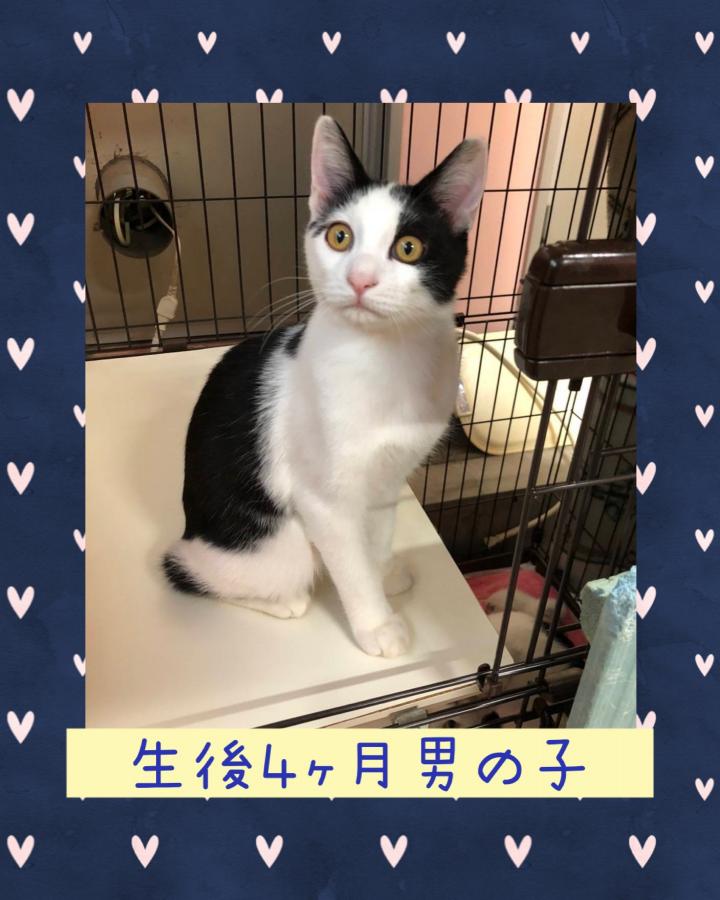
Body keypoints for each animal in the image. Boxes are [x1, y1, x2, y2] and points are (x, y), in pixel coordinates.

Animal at [163, 114, 487, 658]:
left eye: (408, 248)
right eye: (339, 236)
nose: (360, 279)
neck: (385, 359)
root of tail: (190, 533)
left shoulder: (387, 480)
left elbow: (377, 533)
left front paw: (383, 570)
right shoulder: (322, 501)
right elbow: (349, 564)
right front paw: (376, 623)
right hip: (272, 543)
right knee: (188, 571)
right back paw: (281, 600)